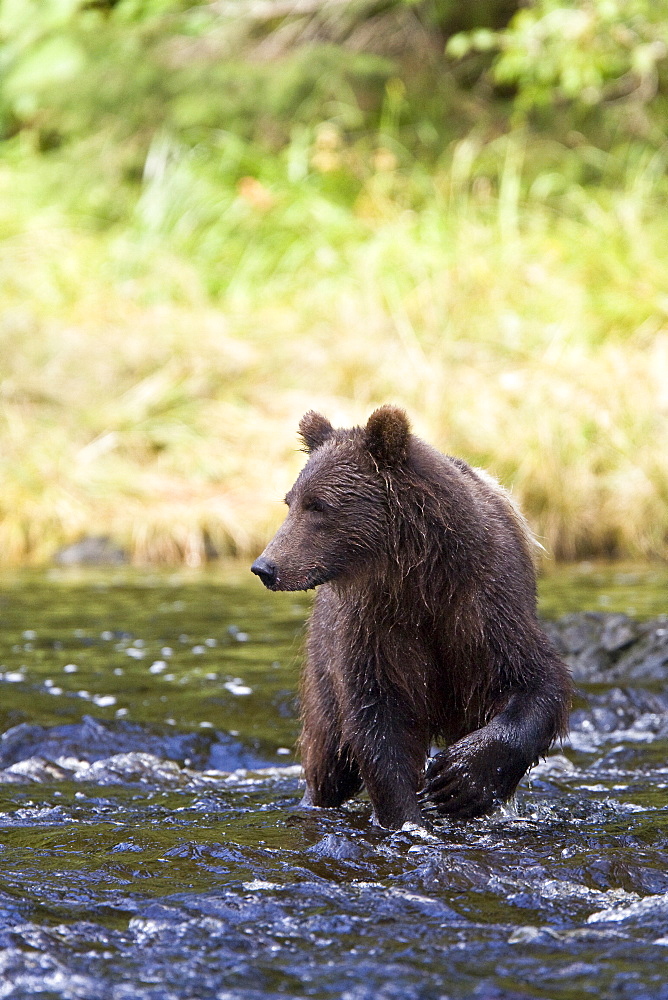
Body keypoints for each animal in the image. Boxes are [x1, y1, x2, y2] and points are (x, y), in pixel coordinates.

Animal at [250, 406, 568, 828]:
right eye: (291, 501)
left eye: (318, 505)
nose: (265, 567)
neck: (417, 581)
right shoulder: (373, 630)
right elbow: (380, 723)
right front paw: (408, 818)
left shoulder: (486, 607)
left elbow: (534, 683)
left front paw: (461, 779)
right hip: (323, 663)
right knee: (328, 760)